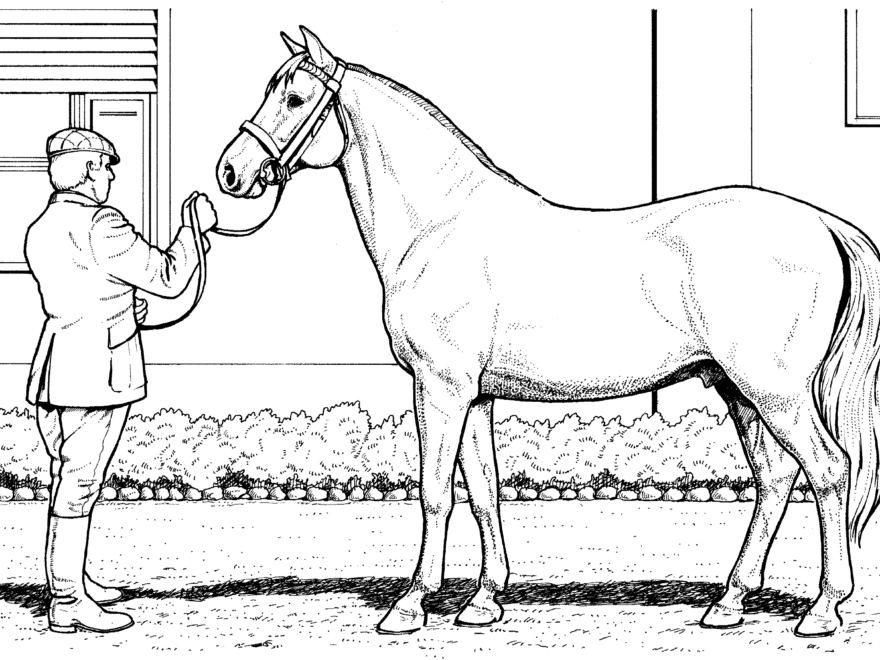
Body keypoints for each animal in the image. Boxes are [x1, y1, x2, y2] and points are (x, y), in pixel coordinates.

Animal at [216, 27, 880, 638]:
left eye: (295, 97)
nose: (232, 172)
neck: (438, 223)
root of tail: (822, 224)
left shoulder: (440, 388)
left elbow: (435, 492)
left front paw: (409, 607)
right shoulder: (475, 396)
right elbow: (483, 491)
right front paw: (483, 602)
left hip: (773, 389)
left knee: (829, 470)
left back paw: (823, 610)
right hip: (734, 386)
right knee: (775, 478)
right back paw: (729, 604)